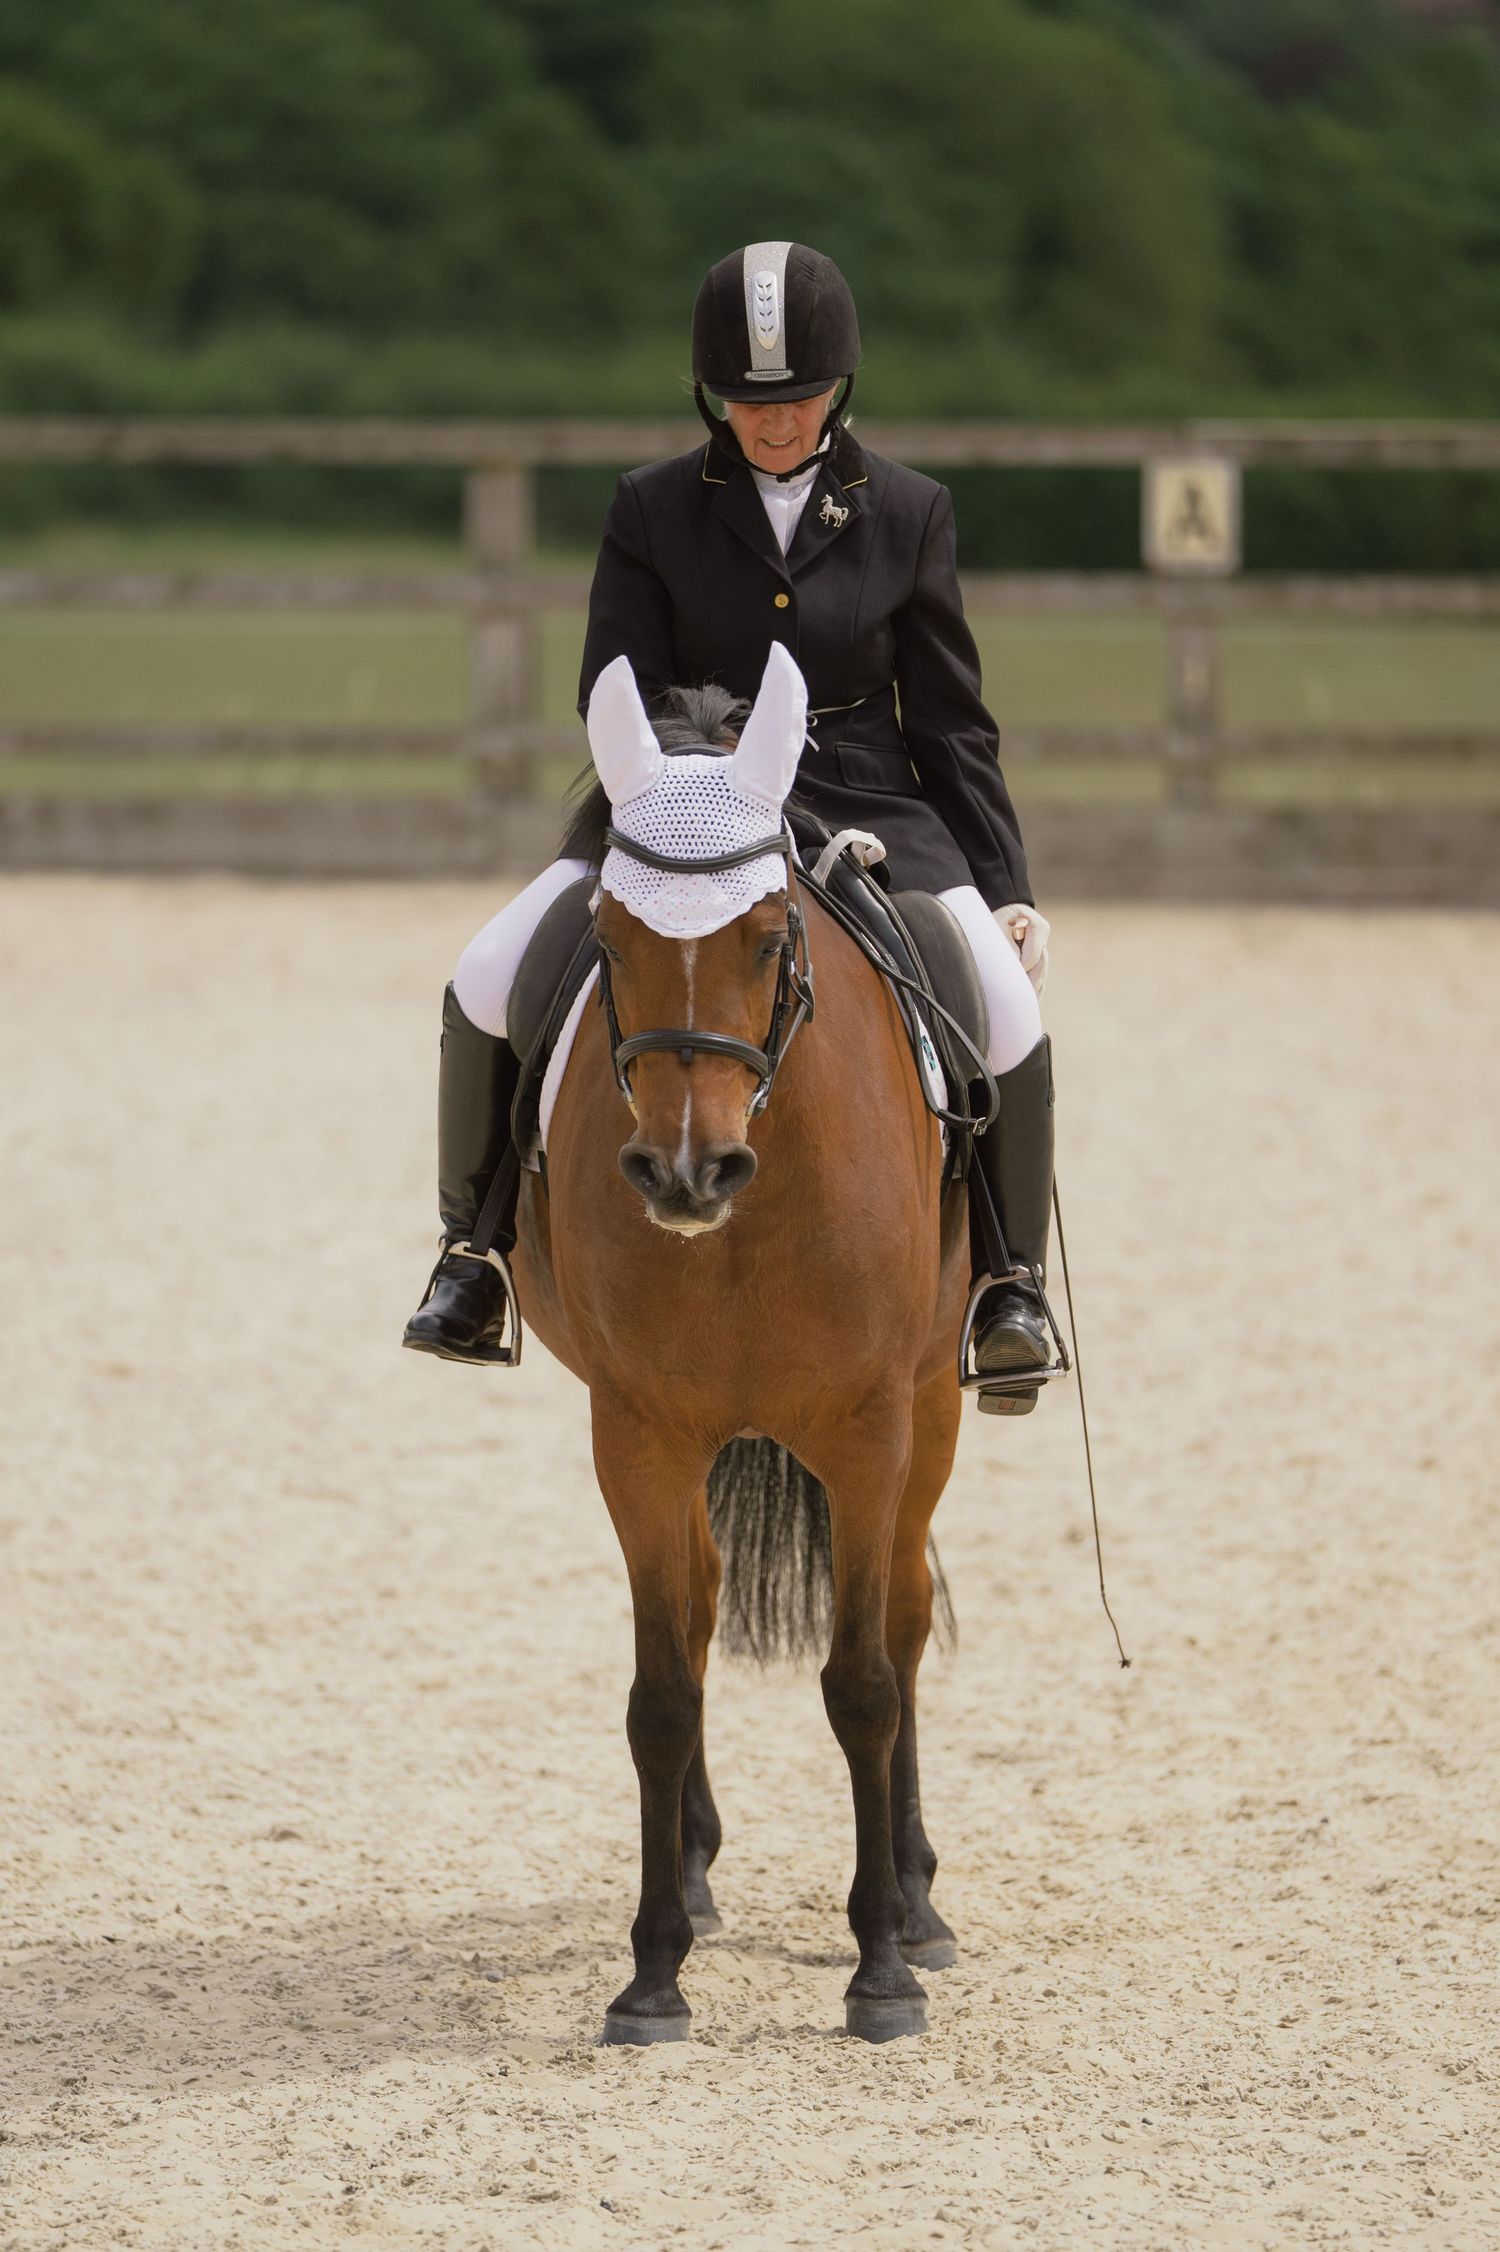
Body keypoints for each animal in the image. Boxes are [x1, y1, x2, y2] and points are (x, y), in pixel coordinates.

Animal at [512, 644, 973, 2045]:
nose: (684, 1170)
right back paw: (702, 1875)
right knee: (705, 1607)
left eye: (769, 938)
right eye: (608, 940)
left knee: (908, 1620)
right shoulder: (640, 1429)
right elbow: (660, 1692)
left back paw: (919, 1905)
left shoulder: (873, 1426)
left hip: (934, 1405)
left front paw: (878, 1967)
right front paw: (653, 1970)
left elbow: (865, 1679)